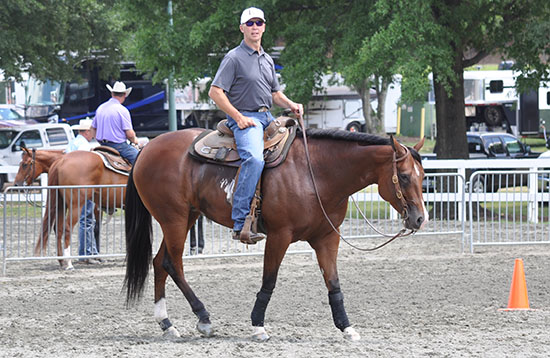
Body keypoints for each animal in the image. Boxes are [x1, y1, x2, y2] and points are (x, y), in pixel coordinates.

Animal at [126, 126, 432, 342]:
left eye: (423, 176)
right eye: (404, 176)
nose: (419, 219)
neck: (316, 173)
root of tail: (148, 147)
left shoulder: (327, 238)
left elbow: (334, 284)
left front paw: (347, 327)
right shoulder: (279, 236)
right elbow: (269, 281)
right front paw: (258, 326)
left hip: (186, 217)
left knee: (159, 263)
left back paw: (167, 324)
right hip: (174, 219)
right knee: (172, 264)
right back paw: (203, 318)